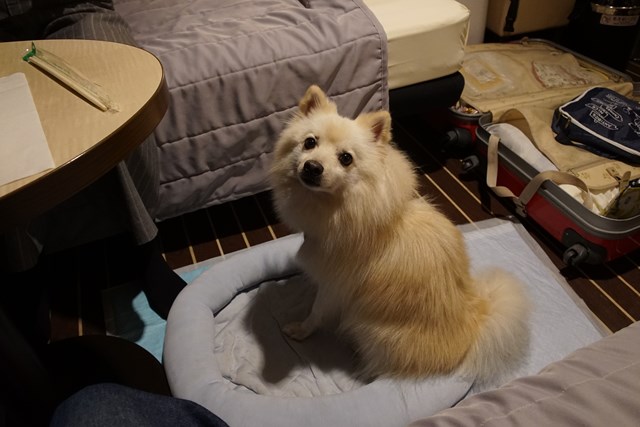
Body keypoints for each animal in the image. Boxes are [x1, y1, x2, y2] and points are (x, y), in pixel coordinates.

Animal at [268, 85, 528, 382]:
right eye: (310, 143)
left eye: (345, 159)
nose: (312, 167)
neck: (340, 207)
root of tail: (472, 324)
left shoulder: (334, 287)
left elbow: (315, 313)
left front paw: (301, 330)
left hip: (369, 329)